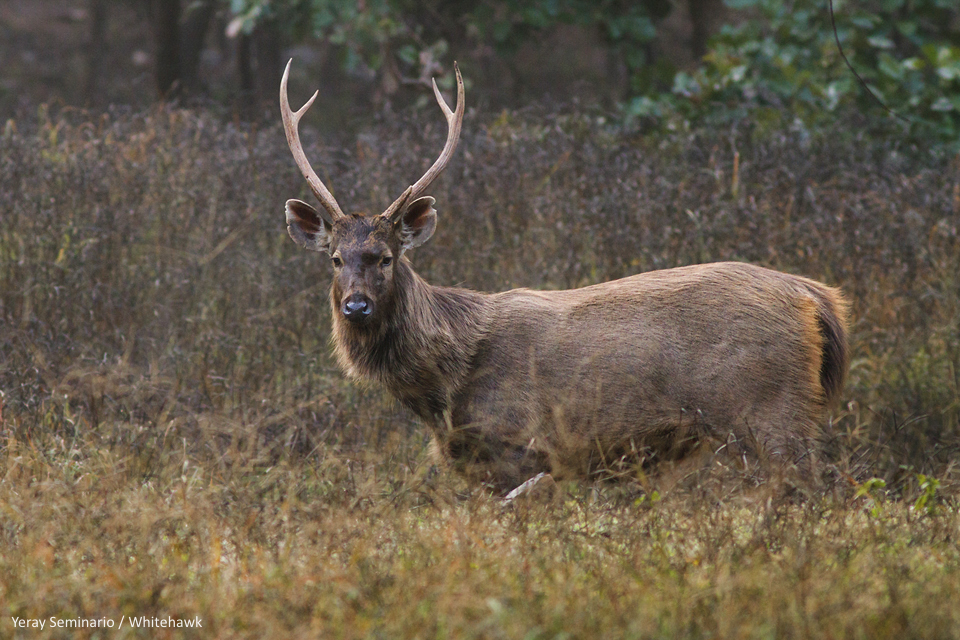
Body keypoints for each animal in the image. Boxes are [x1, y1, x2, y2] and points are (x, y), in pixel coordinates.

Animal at [278, 58, 848, 496]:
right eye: (335, 259)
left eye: (384, 257)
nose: (355, 306)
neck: (444, 388)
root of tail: (817, 298)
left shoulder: (522, 448)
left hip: (772, 409)